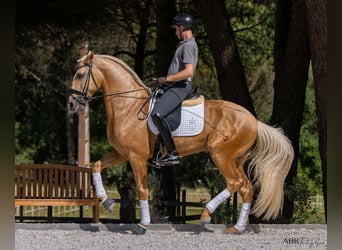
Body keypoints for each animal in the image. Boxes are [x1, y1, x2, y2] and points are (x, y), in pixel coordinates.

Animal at [67, 50, 294, 234]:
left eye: (80, 75)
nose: (71, 104)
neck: (128, 107)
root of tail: (253, 120)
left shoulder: (136, 157)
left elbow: (142, 189)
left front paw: (143, 224)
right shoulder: (122, 153)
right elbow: (96, 166)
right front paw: (107, 202)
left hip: (220, 154)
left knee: (235, 183)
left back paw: (206, 215)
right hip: (236, 159)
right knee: (247, 188)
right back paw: (236, 228)